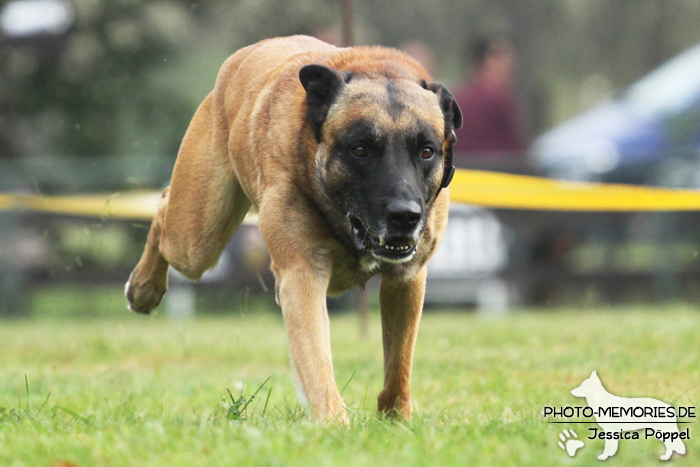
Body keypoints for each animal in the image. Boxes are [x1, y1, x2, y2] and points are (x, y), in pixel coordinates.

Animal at [127, 35, 460, 424]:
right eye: (360, 149)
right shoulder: (302, 272)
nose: (405, 216)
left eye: (427, 151)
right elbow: (316, 359)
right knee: (165, 212)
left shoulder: (406, 278)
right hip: (198, 237)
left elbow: (399, 362)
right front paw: (334, 424)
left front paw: (396, 417)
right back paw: (144, 287)